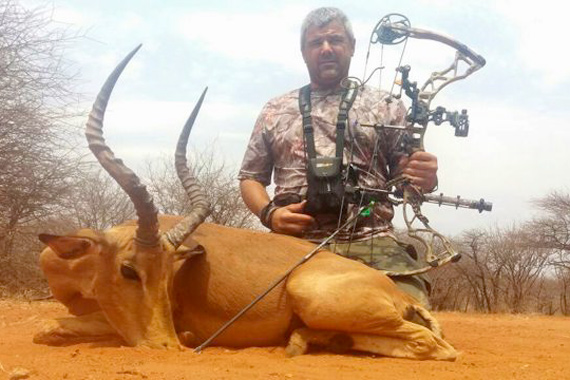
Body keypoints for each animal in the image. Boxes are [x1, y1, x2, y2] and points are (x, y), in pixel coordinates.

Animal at [33, 46, 454, 360]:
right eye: (128, 270)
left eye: (168, 275)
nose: (167, 346)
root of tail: (395, 292)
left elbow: (49, 328)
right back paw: (301, 341)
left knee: (435, 345)